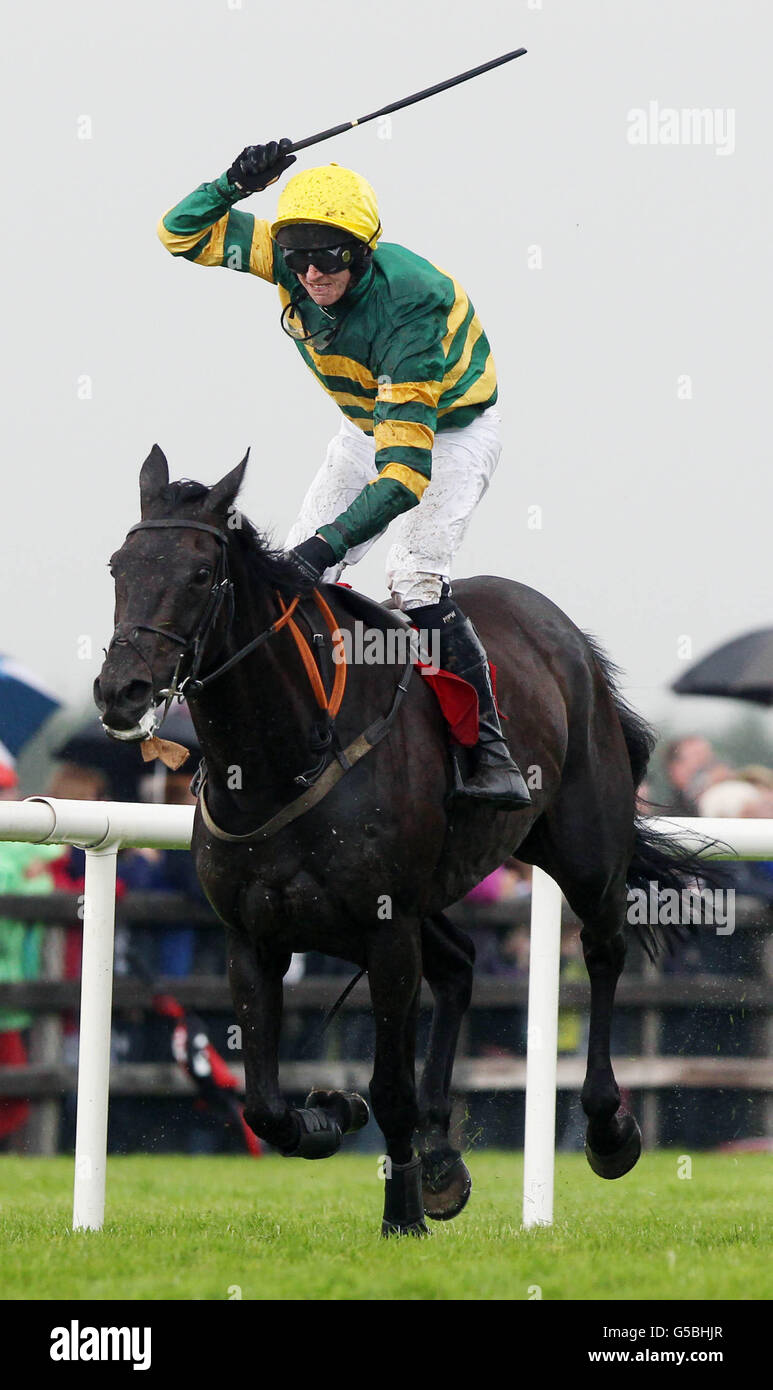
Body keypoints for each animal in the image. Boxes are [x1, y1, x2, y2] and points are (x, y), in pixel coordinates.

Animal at [95, 447, 706, 1239]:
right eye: (119, 567)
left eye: (200, 574)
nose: (121, 691)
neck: (284, 759)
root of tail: (564, 635)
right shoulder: (252, 936)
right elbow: (263, 1106)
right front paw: (331, 1115)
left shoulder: (386, 931)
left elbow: (390, 1088)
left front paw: (402, 1215)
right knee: (461, 964)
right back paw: (444, 1158)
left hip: (584, 849)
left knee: (602, 952)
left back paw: (606, 1128)